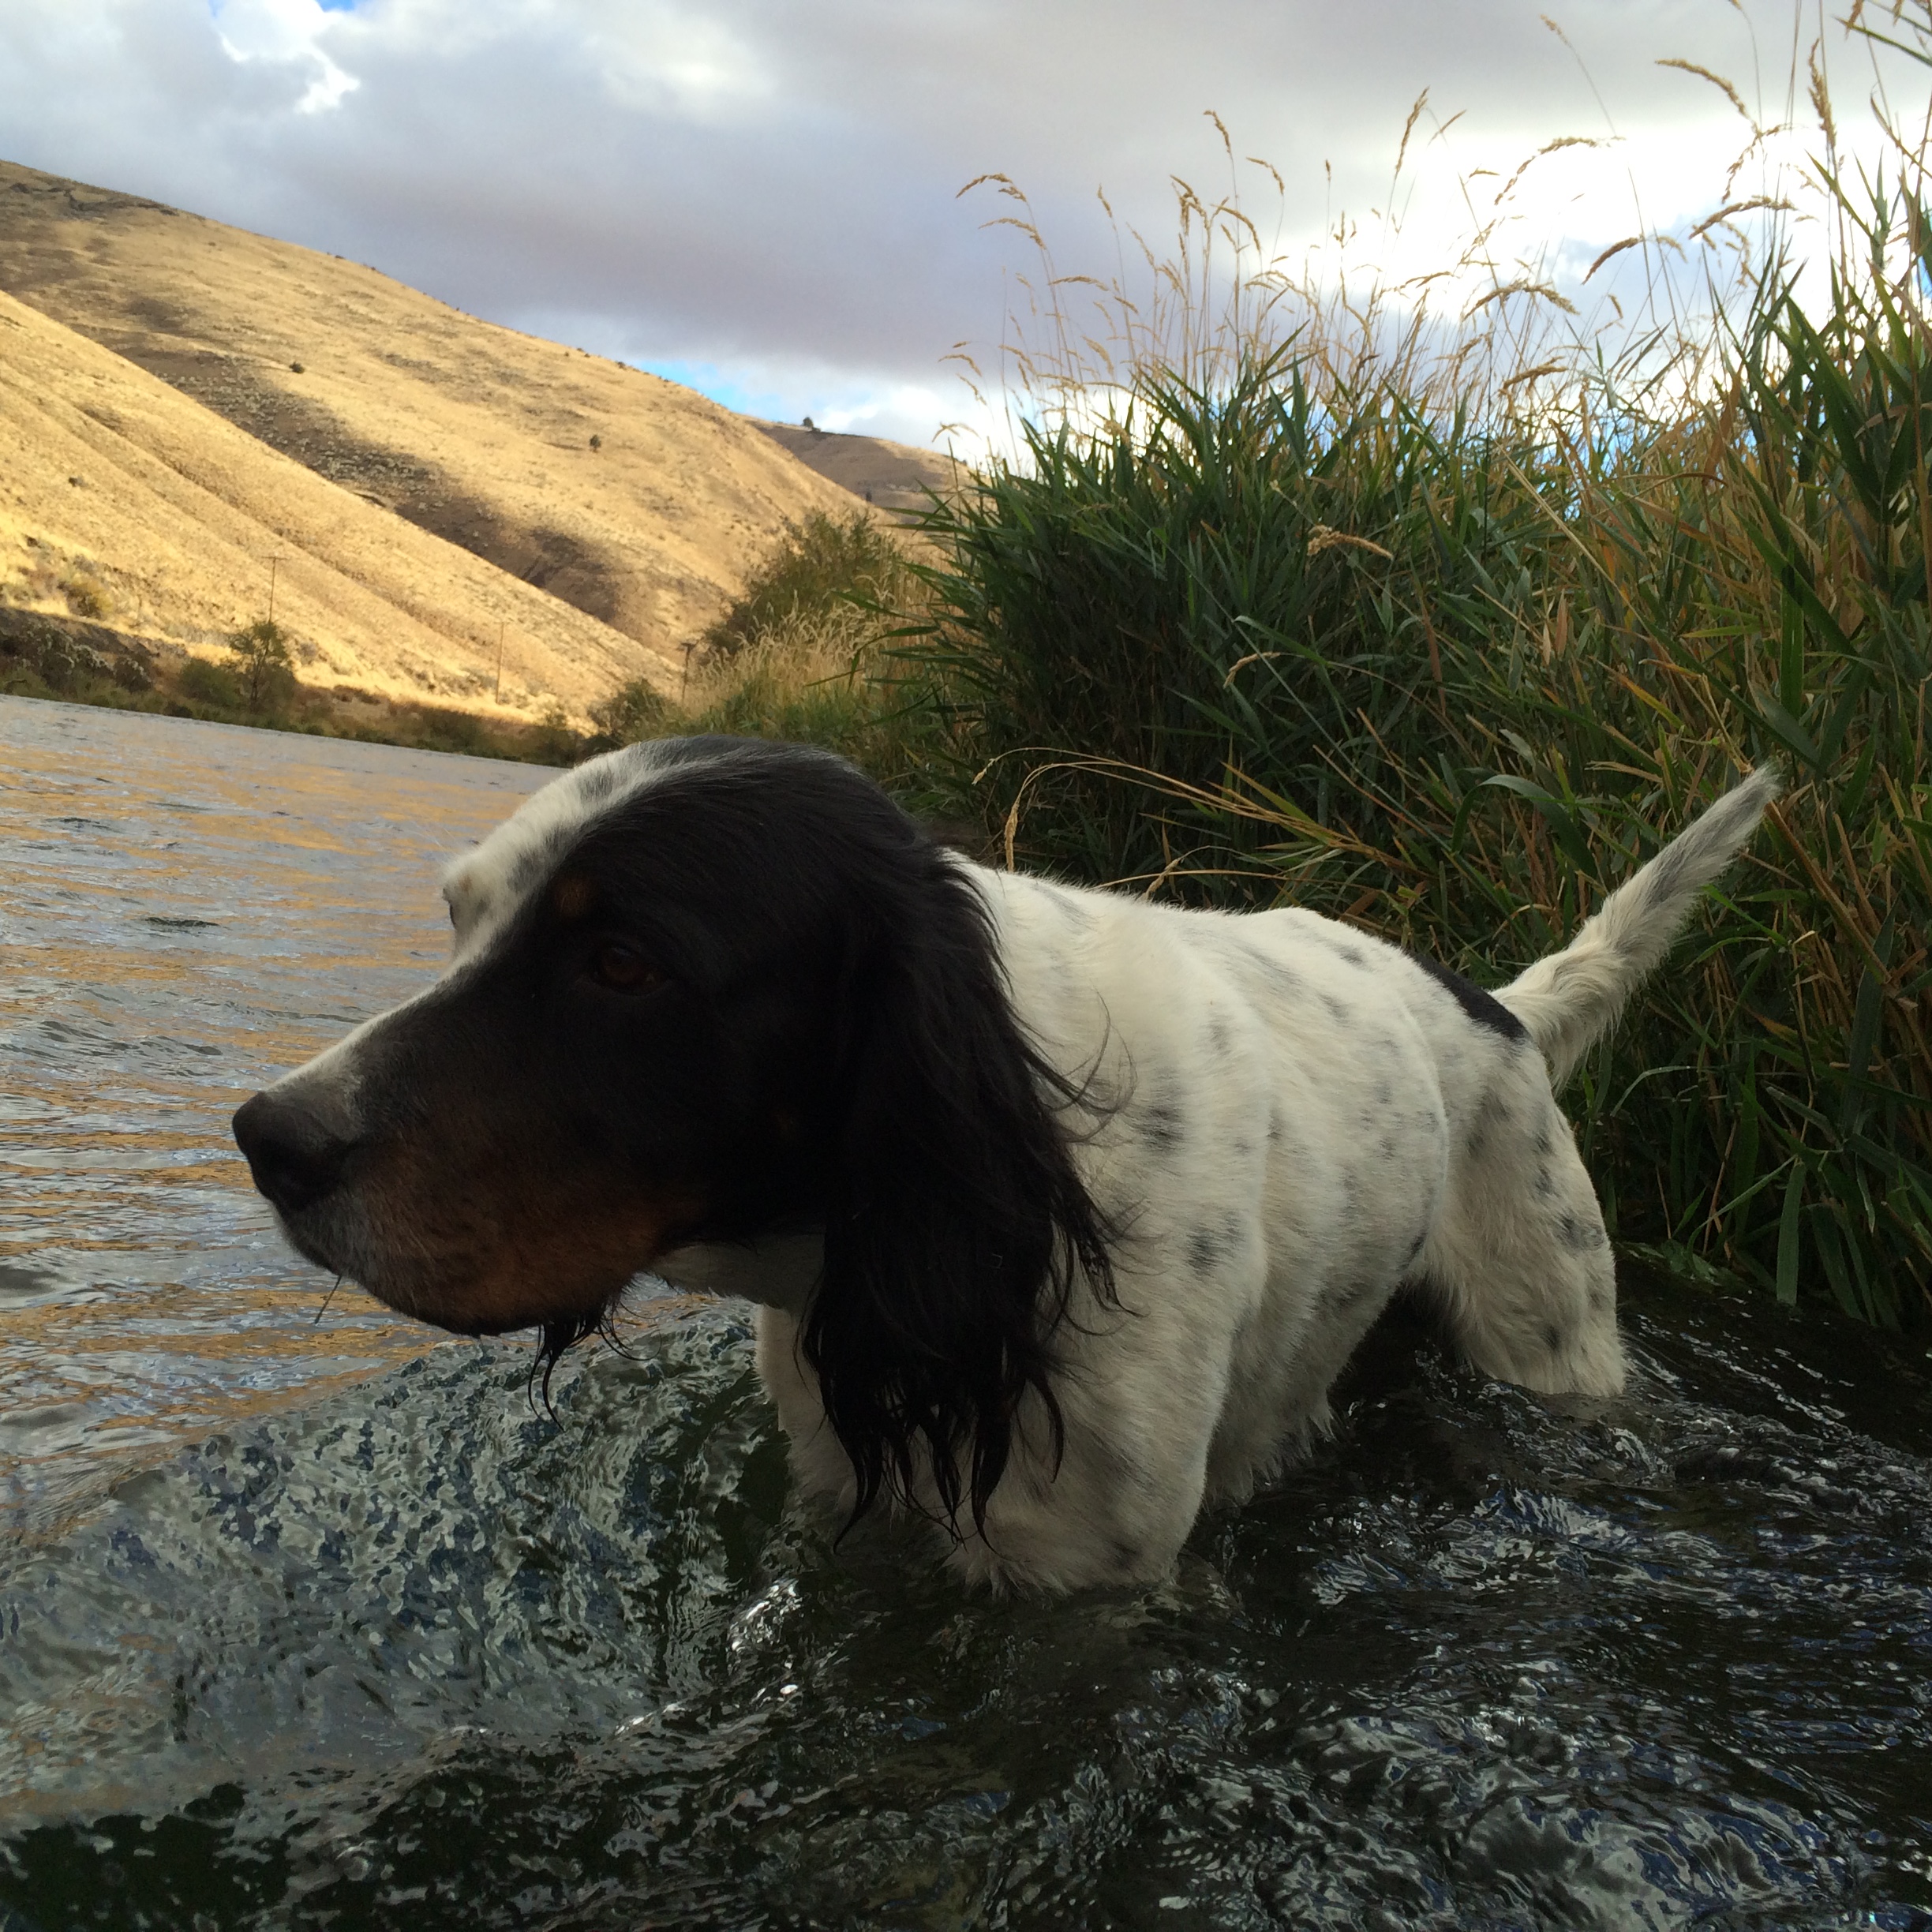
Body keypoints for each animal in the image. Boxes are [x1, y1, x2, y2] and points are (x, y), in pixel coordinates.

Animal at [238, 730, 1777, 1592]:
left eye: (622, 962)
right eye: (460, 917)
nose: (269, 1138)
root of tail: (1499, 1008)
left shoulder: (1081, 1581)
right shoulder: (851, 1495)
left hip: (1552, 1340)